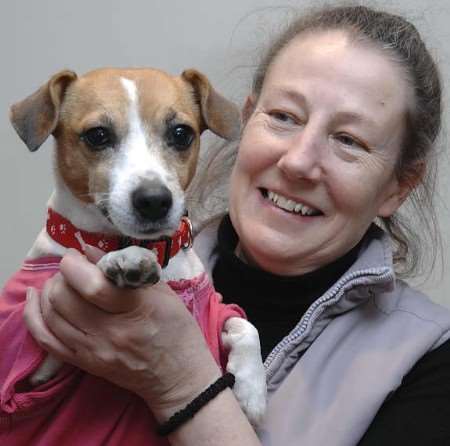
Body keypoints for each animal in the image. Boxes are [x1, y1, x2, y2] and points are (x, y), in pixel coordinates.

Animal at [6, 68, 268, 426]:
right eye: (97, 135)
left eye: (181, 133)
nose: (154, 200)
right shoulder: (42, 360)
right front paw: (126, 259)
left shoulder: (214, 307)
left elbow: (244, 324)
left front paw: (252, 389)